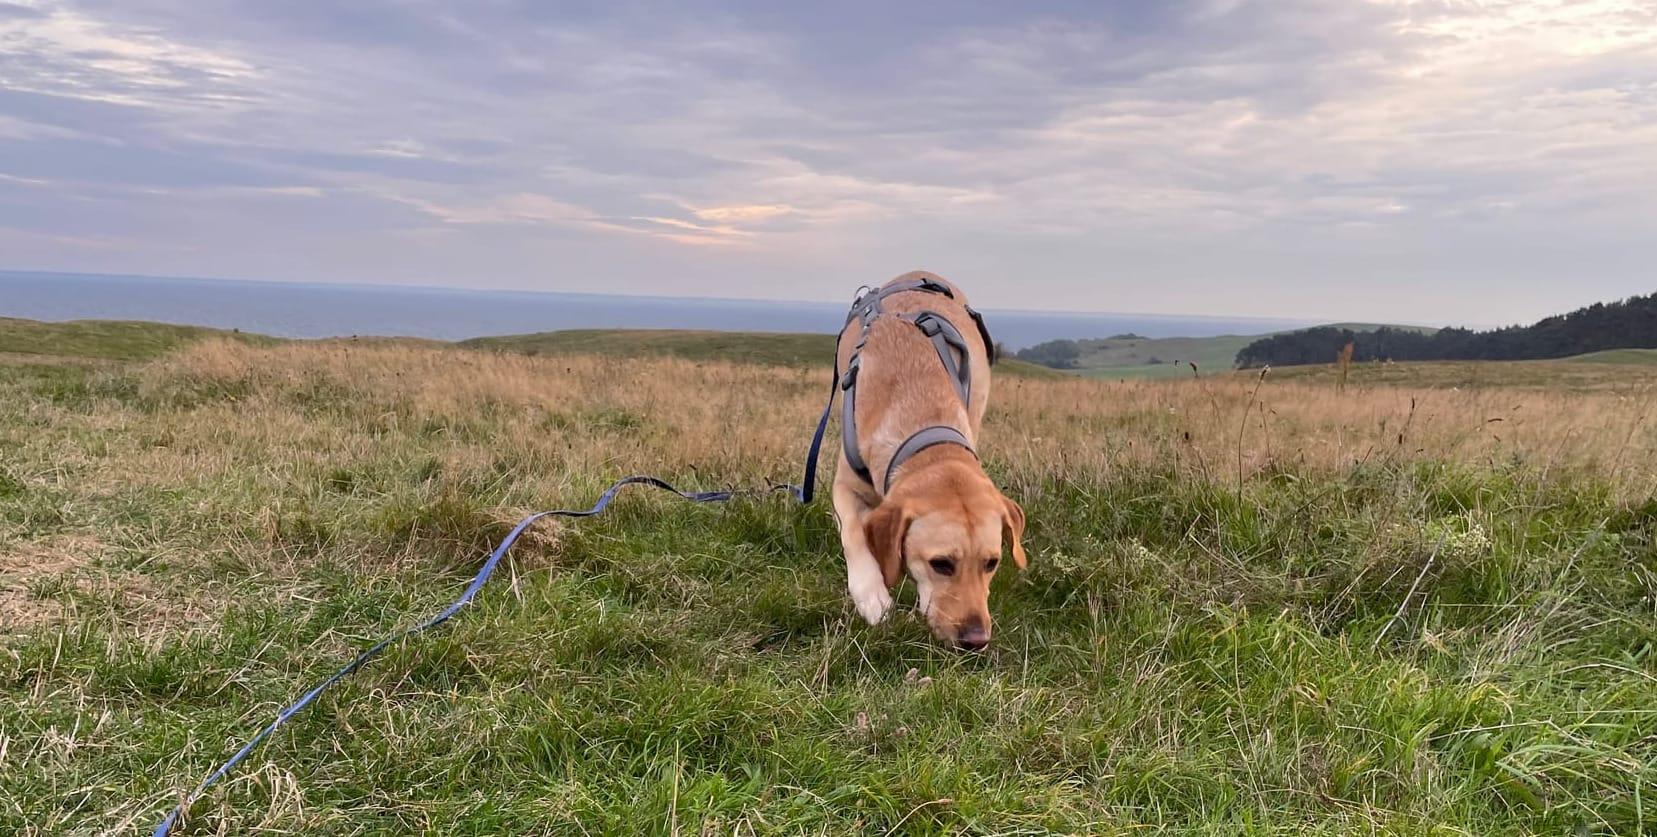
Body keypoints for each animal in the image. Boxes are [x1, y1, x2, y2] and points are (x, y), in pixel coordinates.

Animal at [828, 270, 1020, 649]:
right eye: (941, 563)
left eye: (991, 563)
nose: (976, 640)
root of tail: (922, 273)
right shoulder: (844, 485)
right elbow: (854, 533)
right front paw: (871, 594)